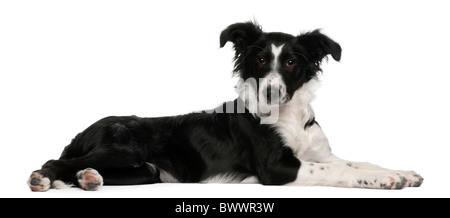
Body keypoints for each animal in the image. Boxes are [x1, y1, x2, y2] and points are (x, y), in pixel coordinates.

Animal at [27, 21, 422, 191]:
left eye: (292, 62)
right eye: (260, 60)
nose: (271, 94)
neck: (291, 118)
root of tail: (83, 131)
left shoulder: (319, 153)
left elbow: (357, 162)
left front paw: (402, 171)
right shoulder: (277, 167)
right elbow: (336, 171)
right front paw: (388, 179)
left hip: (147, 171)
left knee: (81, 169)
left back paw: (87, 178)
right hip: (123, 148)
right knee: (55, 162)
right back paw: (43, 179)